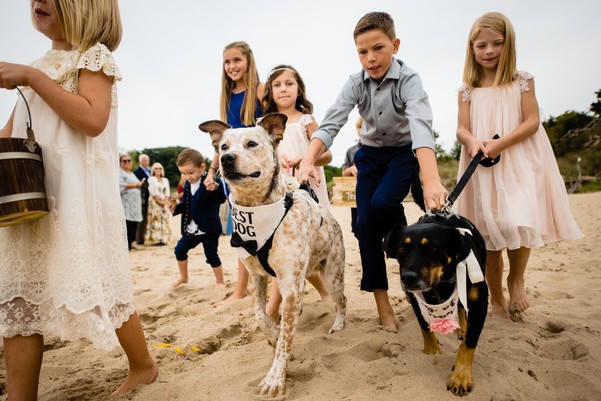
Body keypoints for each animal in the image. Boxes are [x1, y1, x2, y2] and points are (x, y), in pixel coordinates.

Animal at [199, 113, 344, 396]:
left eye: (251, 143)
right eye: (223, 147)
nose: (226, 159)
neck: (258, 210)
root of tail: (331, 218)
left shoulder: (291, 284)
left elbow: (285, 342)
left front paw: (275, 378)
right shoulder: (258, 276)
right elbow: (260, 315)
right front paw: (273, 336)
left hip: (332, 275)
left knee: (341, 300)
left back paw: (338, 325)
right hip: (307, 273)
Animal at [384, 211, 488, 396]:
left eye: (433, 248)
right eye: (402, 248)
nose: (408, 278)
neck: (442, 283)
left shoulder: (480, 303)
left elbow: (469, 343)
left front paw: (461, 376)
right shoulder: (415, 299)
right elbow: (424, 326)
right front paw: (432, 351)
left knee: (461, 308)